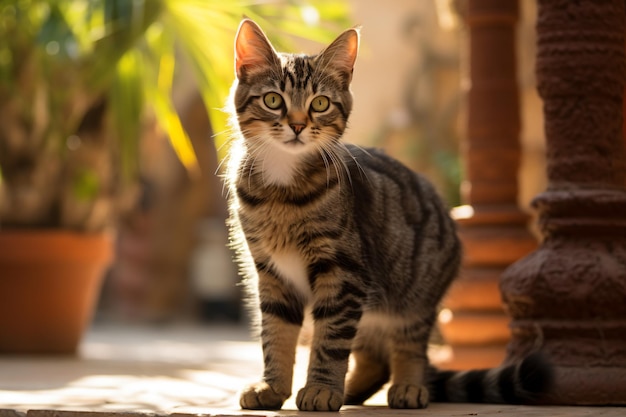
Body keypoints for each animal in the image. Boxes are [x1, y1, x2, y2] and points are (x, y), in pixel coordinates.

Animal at [225, 18, 552, 410]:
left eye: (320, 103)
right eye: (273, 100)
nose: (299, 125)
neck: (281, 189)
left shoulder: (343, 273)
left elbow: (330, 341)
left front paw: (321, 388)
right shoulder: (273, 274)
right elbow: (276, 335)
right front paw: (272, 387)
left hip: (413, 297)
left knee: (410, 348)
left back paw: (408, 387)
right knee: (376, 359)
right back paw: (352, 390)